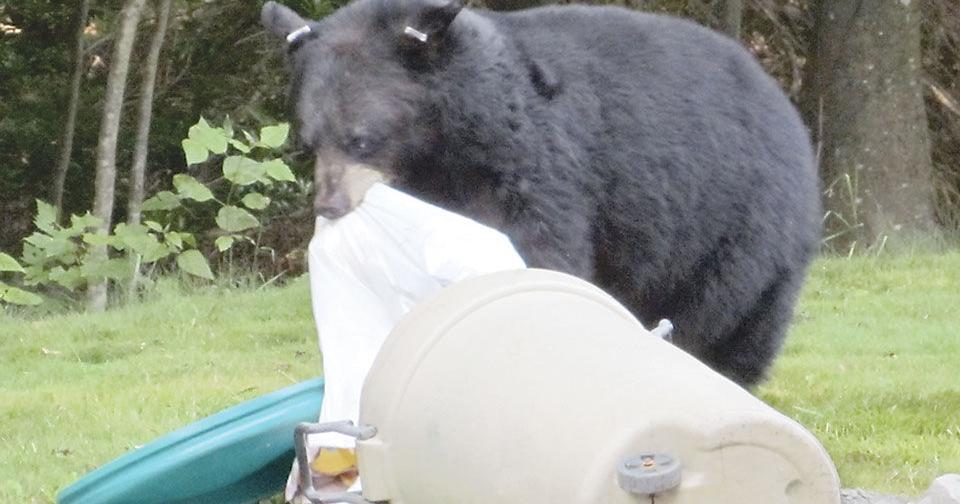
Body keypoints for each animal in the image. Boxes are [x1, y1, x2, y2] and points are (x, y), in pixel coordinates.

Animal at [261, 0, 821, 386]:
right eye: (308, 139)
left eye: (362, 138)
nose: (329, 204)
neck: (450, 142)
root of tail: (786, 109)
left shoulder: (534, 160)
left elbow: (541, 246)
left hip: (736, 231)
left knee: (727, 324)